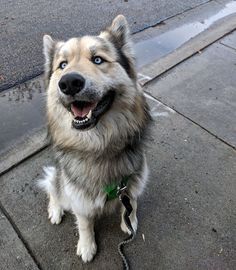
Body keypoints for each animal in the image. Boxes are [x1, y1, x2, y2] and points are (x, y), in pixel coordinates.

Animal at [39, 14, 151, 262]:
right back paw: (55, 210)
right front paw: (87, 245)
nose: (69, 82)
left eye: (98, 60)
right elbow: (84, 223)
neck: (98, 143)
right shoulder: (79, 198)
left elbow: (132, 202)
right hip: (62, 183)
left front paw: (130, 222)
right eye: (62, 65)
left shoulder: (132, 180)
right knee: (54, 188)